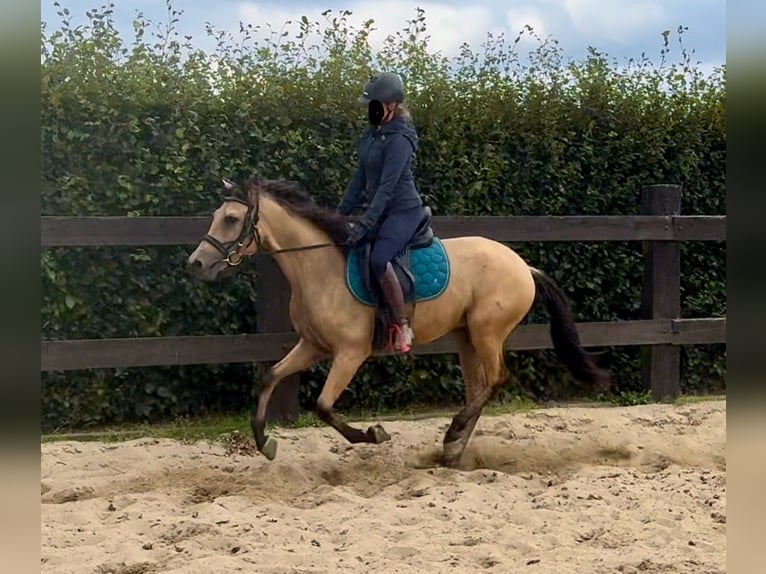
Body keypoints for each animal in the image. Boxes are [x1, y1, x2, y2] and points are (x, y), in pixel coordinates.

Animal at [186, 178, 612, 470]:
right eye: (217, 216)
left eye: (231, 219)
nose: (197, 264)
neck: (319, 267)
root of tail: (524, 266)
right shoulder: (312, 346)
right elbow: (270, 377)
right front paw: (264, 442)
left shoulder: (350, 353)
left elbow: (323, 406)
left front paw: (373, 434)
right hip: (465, 336)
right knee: (478, 387)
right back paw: (453, 450)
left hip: (487, 332)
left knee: (495, 380)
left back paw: (453, 434)